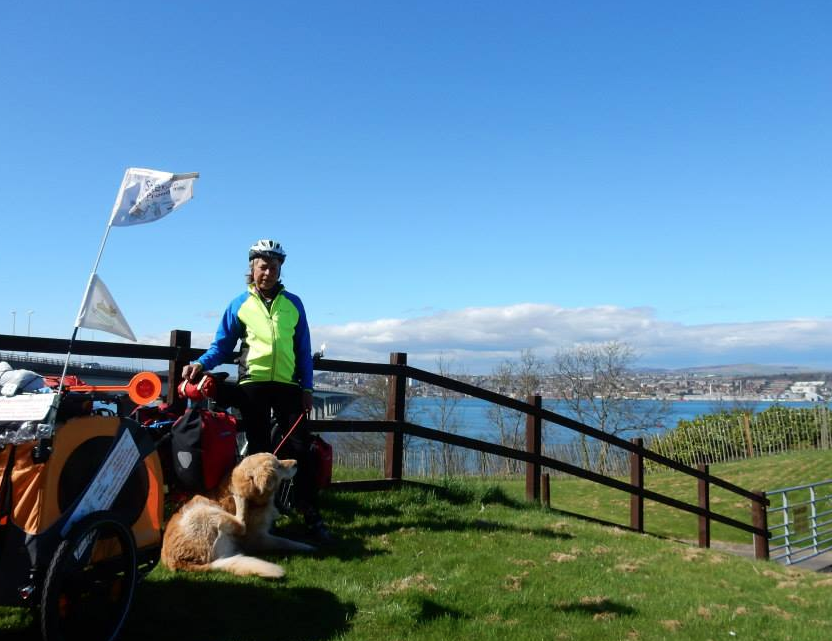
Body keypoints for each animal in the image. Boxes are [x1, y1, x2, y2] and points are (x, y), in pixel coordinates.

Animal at [162, 450, 316, 580]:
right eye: (278, 465)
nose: (296, 462)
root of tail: (177, 561)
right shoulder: (257, 538)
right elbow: (285, 541)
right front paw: (307, 547)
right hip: (204, 511)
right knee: (241, 524)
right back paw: (239, 499)